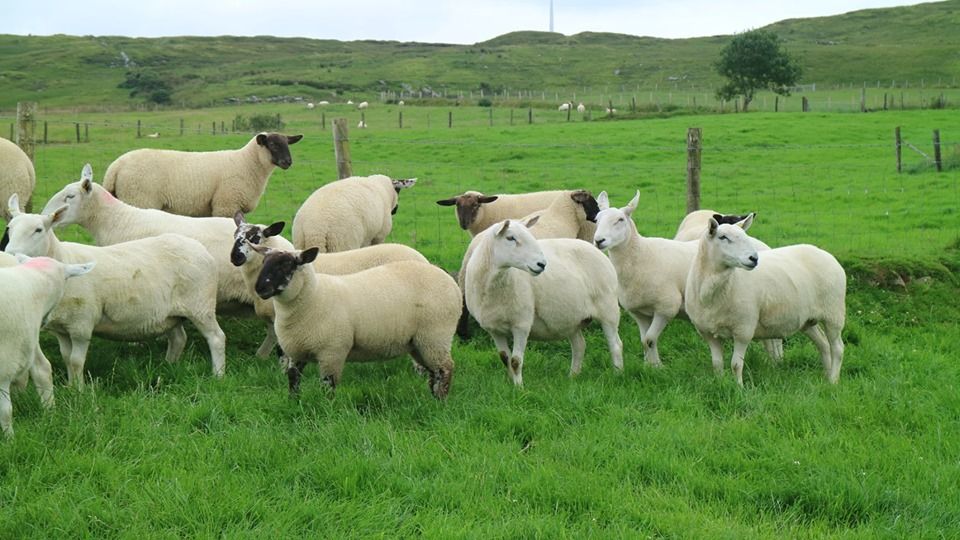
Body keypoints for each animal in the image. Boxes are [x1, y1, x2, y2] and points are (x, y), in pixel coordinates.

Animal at [6, 195, 227, 386]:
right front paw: (71, 386)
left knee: (216, 338)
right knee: (179, 339)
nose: (9, 254)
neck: (64, 261)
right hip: (170, 314)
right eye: (9, 228)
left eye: (38, 230)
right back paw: (169, 365)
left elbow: (76, 361)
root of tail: (199, 247)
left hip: (200, 305)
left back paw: (218, 375)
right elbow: (67, 358)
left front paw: (79, 391)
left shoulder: (81, 325)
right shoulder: (62, 327)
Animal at [101, 131, 303, 218]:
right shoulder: (226, 205)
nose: (288, 162)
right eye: (273, 144)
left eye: (287, 144)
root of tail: (115, 167)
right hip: (139, 200)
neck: (247, 163)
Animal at [251, 244, 461, 398]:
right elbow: (293, 380)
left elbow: (328, 385)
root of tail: (446, 277)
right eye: (264, 262)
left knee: (445, 369)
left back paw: (441, 401)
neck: (314, 297)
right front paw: (294, 403)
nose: (259, 288)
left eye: (286, 265)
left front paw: (326, 410)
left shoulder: (332, 352)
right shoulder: (296, 351)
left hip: (435, 336)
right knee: (433, 372)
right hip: (419, 343)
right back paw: (433, 398)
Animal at [464, 218, 623, 386]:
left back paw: (618, 374)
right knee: (579, 346)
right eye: (510, 238)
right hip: (572, 319)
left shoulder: (521, 324)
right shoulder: (493, 329)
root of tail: (595, 249)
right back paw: (573, 376)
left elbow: (515, 361)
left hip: (608, 309)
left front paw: (519, 387)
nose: (542, 264)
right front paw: (510, 384)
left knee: (615, 345)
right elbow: (505, 359)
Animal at [684, 214, 846, 385]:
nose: (754, 258)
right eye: (723, 237)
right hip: (808, 320)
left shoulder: (744, 330)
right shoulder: (707, 332)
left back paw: (833, 380)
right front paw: (721, 383)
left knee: (837, 348)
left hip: (834, 314)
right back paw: (826, 376)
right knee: (823, 344)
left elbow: (736, 364)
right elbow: (717, 364)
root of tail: (825, 253)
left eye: (745, 236)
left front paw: (739, 387)